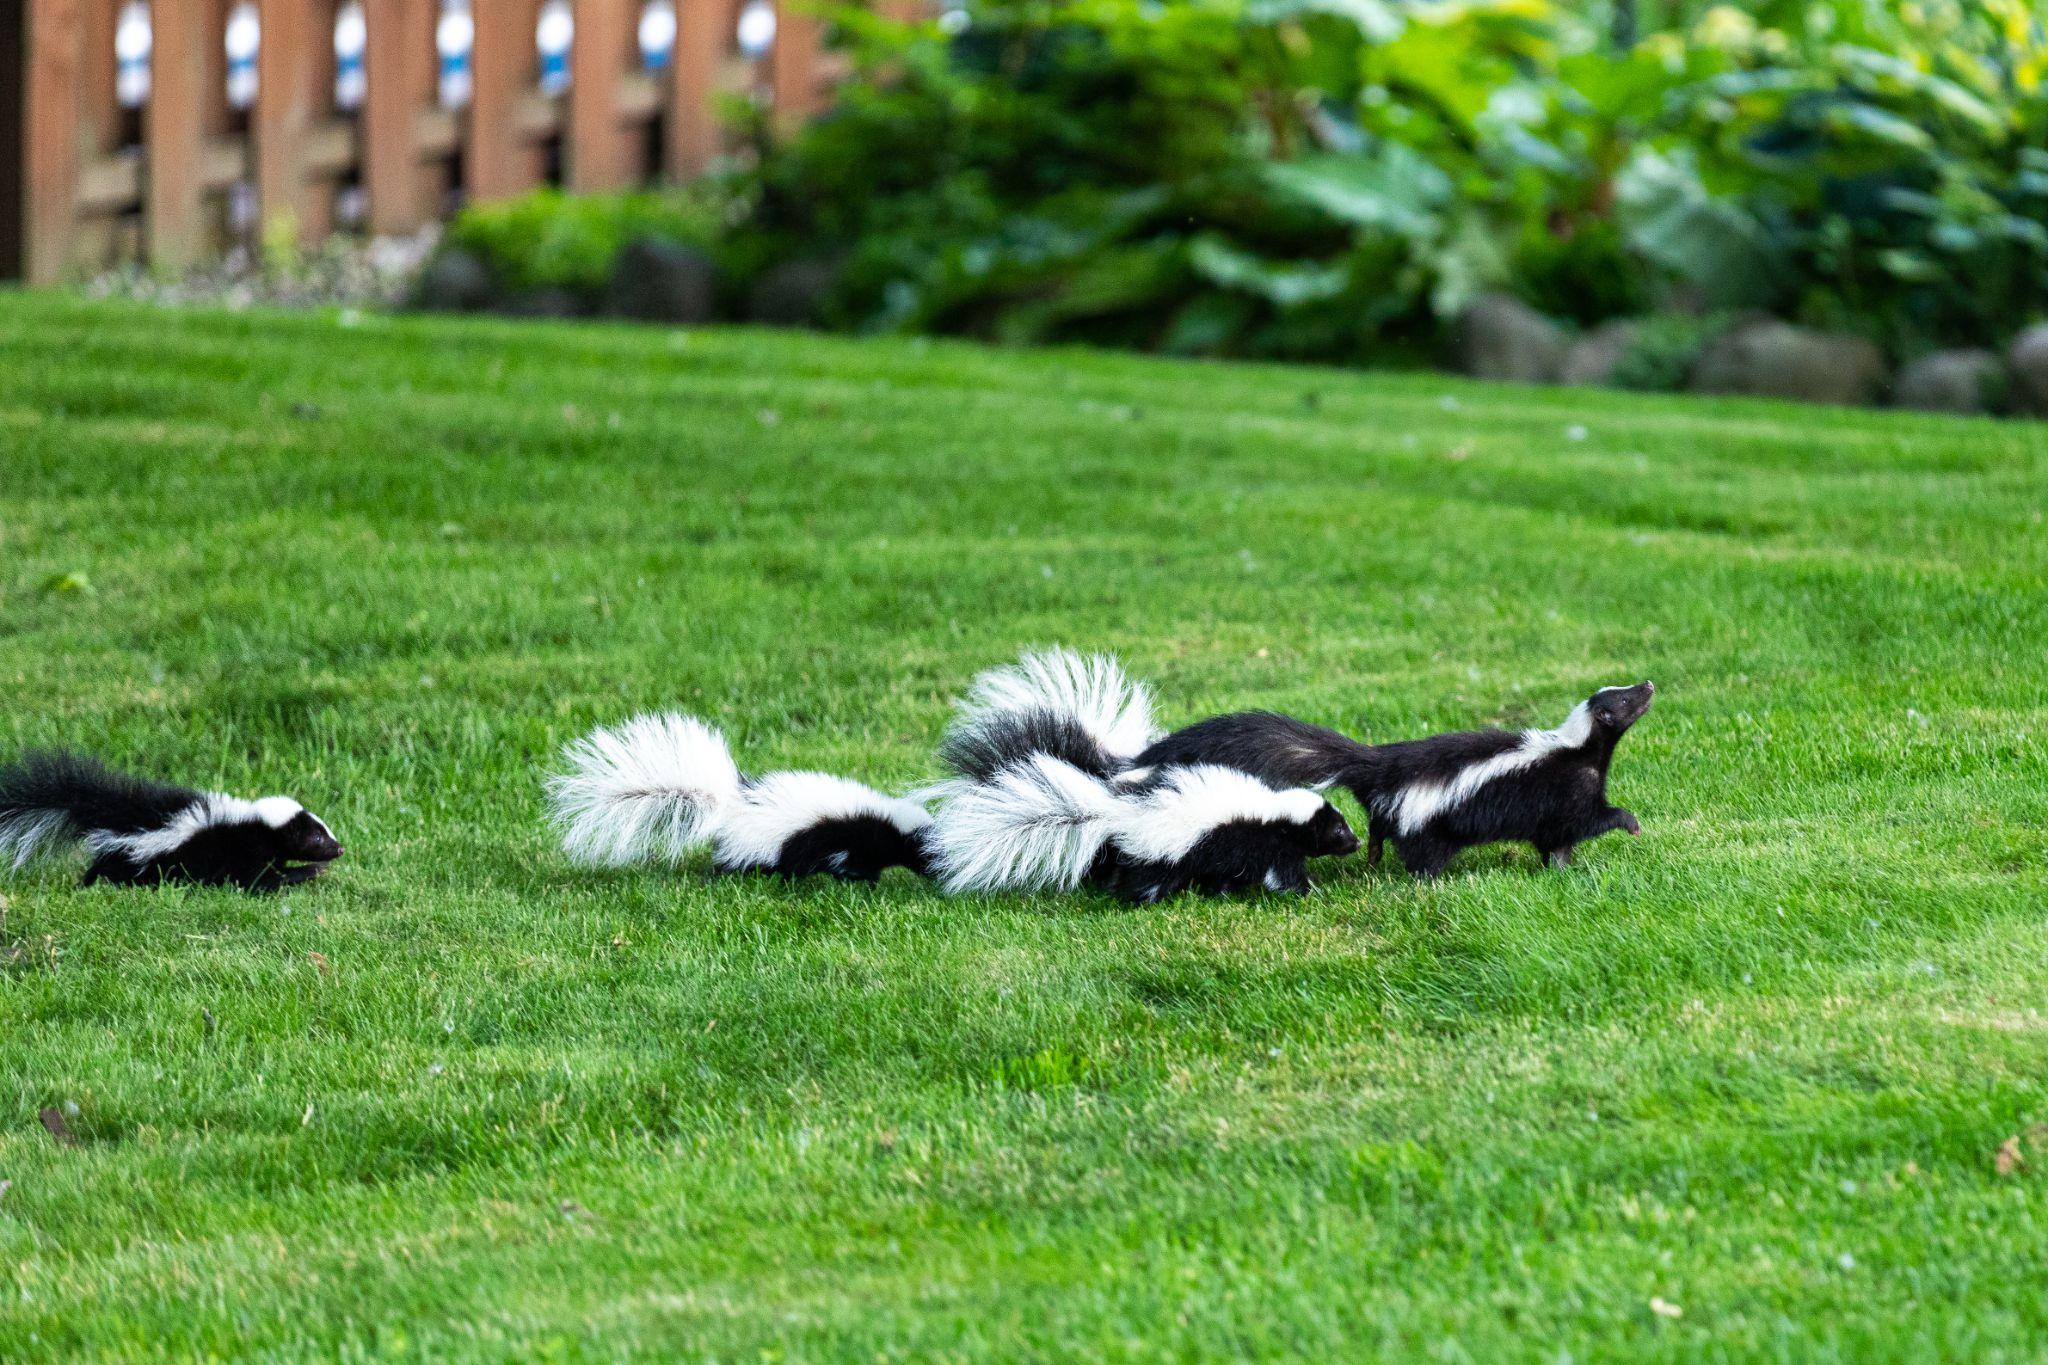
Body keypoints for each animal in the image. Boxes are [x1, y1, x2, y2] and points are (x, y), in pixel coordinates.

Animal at [0, 749, 344, 896]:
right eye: (316, 838)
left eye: (324, 832)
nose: (339, 849)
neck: (254, 823)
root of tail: (116, 814)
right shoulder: (243, 852)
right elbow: (258, 880)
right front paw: (310, 871)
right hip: (138, 855)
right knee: (115, 871)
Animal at [544, 716, 929, 888]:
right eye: (926, 854)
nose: (935, 874)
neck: (888, 821)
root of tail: (734, 804)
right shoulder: (847, 836)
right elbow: (848, 861)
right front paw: (859, 880)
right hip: (762, 844)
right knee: (744, 863)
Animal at [929, 646, 1359, 900]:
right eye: (1337, 830)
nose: (1355, 842)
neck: (1274, 810)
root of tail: (1115, 811)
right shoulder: (1258, 841)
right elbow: (1280, 874)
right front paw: (1308, 891)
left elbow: (1231, 875)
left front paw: (1224, 893)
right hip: (1163, 852)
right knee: (1147, 880)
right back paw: (1141, 901)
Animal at [1146, 679, 1654, 875]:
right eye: (1626, 701)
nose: (1649, 684)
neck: (1580, 746)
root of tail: (1381, 765)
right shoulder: (1567, 789)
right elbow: (1585, 821)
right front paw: (1630, 823)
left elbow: (1556, 840)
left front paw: (1561, 869)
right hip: (1427, 814)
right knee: (1421, 852)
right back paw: (1426, 881)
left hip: (1391, 807)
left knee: (1376, 827)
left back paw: (1371, 859)